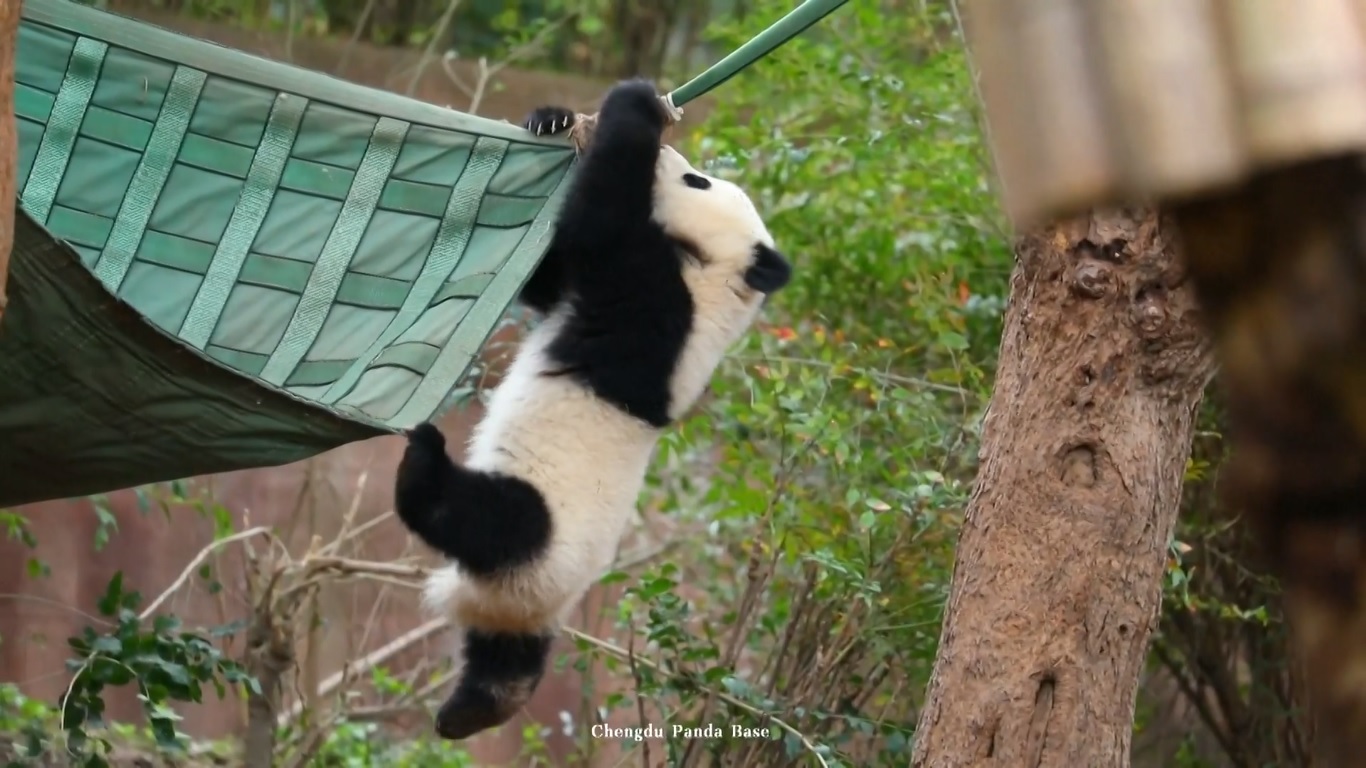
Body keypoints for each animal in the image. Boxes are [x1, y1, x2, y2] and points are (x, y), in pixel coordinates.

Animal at [393, 78, 792, 741]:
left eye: (697, 182)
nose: (673, 158)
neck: (720, 278)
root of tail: (524, 598)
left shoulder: (663, 307)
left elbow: (600, 228)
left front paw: (633, 107)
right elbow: (549, 278)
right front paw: (552, 118)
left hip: (536, 521)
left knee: (472, 514)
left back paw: (423, 459)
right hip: (527, 611)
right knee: (506, 659)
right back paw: (473, 709)